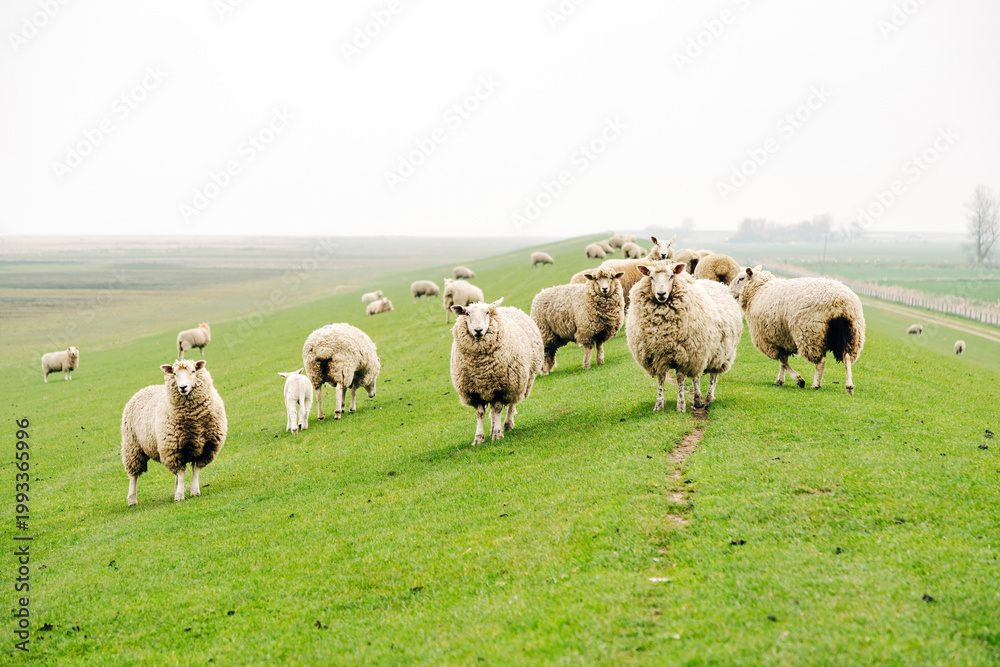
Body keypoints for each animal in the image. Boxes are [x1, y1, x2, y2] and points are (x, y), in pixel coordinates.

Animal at [121, 359, 227, 506]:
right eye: (175, 373)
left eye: (193, 371)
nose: (182, 387)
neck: (194, 423)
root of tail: (145, 388)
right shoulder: (173, 449)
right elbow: (181, 474)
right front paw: (180, 496)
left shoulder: (206, 448)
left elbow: (195, 470)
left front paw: (194, 491)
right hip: (132, 446)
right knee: (133, 475)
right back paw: (132, 499)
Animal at [450, 298, 543, 445]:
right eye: (467, 313)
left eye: (487, 312)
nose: (478, 330)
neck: (481, 368)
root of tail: (510, 308)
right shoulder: (474, 391)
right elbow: (480, 413)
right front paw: (479, 437)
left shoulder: (502, 387)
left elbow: (499, 408)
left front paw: (498, 434)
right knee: (493, 411)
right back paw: (493, 427)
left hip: (519, 381)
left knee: (511, 404)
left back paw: (507, 424)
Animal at [626, 261, 743, 412]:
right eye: (651, 277)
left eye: (671, 276)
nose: (661, 294)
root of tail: (714, 282)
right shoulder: (658, 355)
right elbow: (661, 379)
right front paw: (659, 404)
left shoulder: (683, 355)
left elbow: (680, 379)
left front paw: (680, 405)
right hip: (699, 351)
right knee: (696, 376)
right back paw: (698, 399)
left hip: (720, 352)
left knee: (713, 375)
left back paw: (708, 398)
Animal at [730, 266, 866, 395]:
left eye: (741, 279)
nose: (729, 292)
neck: (758, 291)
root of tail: (840, 302)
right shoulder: (782, 336)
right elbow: (783, 360)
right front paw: (780, 380)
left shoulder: (768, 339)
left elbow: (783, 360)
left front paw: (798, 380)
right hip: (850, 334)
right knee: (847, 359)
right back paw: (849, 387)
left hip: (810, 333)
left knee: (821, 361)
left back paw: (816, 384)